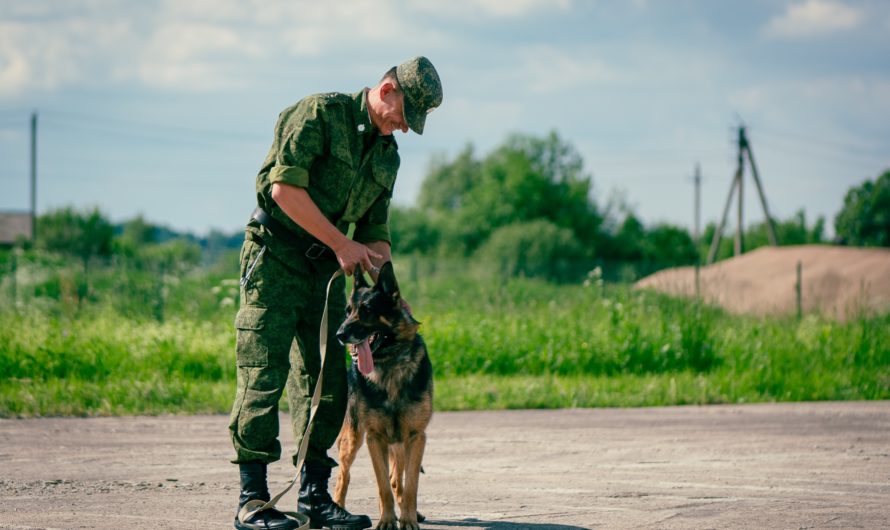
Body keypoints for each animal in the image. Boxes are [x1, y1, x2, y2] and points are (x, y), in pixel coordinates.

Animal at [332, 262, 430, 528]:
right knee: (344, 477)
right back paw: (337, 510)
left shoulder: (415, 437)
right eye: (348, 311)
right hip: (353, 440)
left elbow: (411, 486)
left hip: (399, 445)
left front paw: (407, 519)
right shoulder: (374, 438)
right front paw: (387, 520)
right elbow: (381, 486)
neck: (390, 367)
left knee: (397, 479)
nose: (340, 334)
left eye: (367, 310)